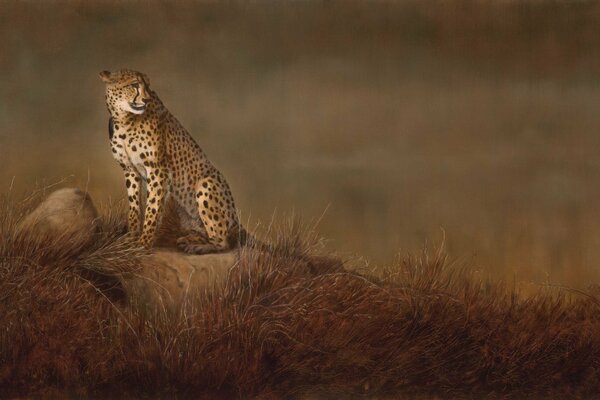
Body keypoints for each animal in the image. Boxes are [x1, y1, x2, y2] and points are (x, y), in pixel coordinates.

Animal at [100, 68, 253, 253]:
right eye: (134, 84)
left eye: (147, 85)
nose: (146, 99)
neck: (124, 119)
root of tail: (236, 221)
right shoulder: (130, 170)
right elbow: (135, 206)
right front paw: (130, 238)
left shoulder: (158, 169)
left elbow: (152, 208)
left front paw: (143, 243)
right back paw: (189, 239)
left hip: (206, 184)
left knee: (223, 242)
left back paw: (198, 247)